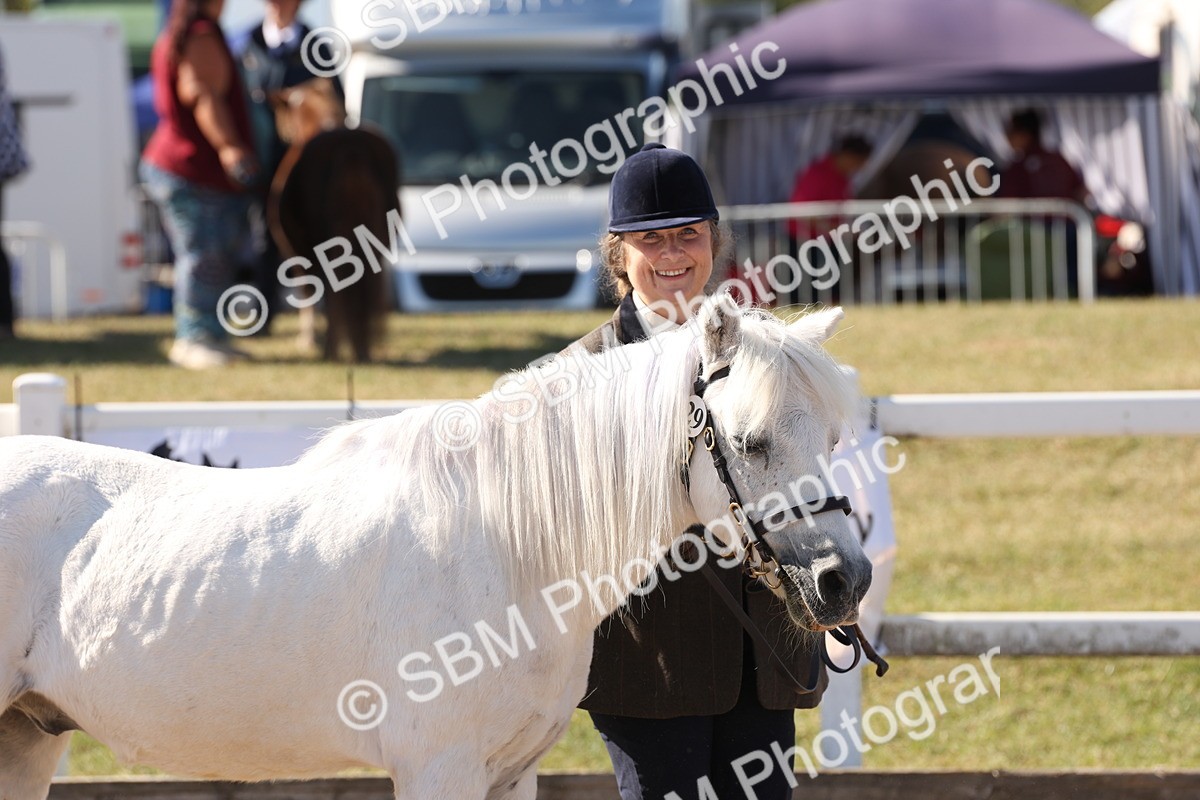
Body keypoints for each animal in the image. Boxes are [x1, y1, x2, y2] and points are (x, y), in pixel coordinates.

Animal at [0, 297, 873, 799]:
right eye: (751, 441)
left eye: (834, 436)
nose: (845, 580)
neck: (507, 549)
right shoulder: (438, 768)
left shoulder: (510, 774)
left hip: (26, 742)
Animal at [268, 78, 399, 363]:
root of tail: (350, 146)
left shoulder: (295, 251)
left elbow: (308, 292)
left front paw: (308, 340)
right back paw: (362, 349)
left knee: (334, 293)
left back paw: (333, 349)